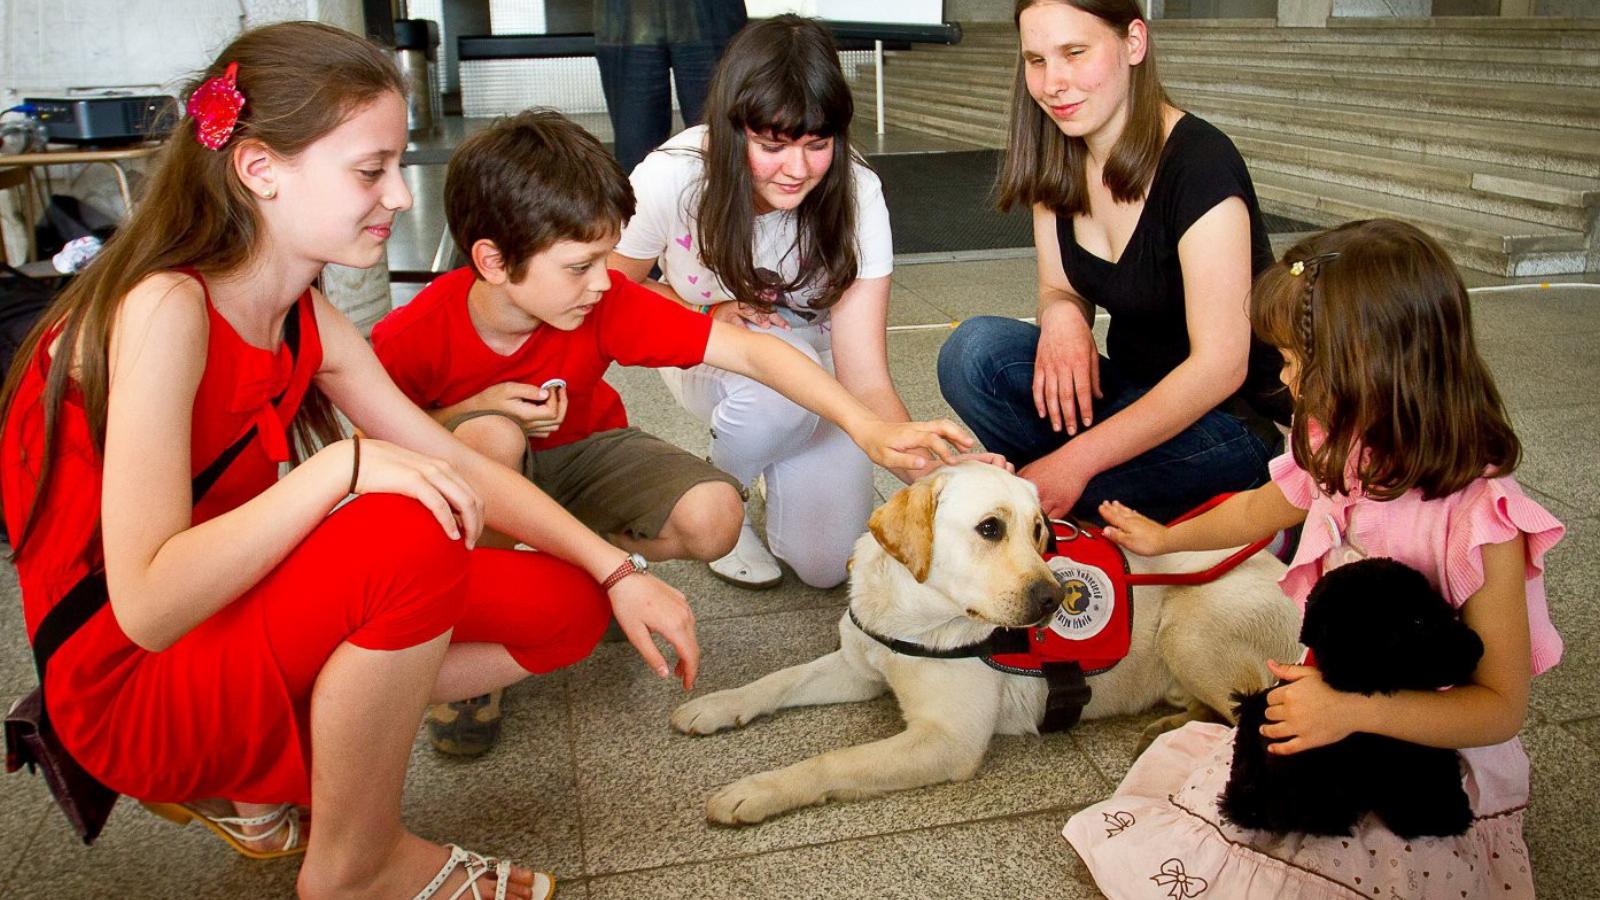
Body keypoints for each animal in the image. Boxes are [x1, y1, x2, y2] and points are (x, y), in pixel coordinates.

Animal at [668, 461, 1305, 819]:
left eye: (1040, 531)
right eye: (990, 528)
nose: (1056, 598)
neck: (915, 613)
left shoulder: (947, 740)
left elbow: (832, 761)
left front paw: (757, 790)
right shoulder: (858, 666)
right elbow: (776, 681)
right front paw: (715, 706)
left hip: (1189, 628)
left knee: (1254, 717)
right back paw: (1169, 724)